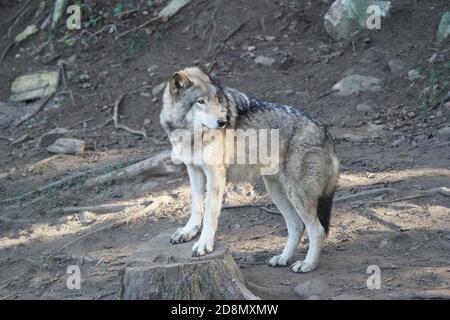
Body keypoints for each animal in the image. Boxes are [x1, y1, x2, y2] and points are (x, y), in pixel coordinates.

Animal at [158, 67, 338, 272]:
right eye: (200, 101)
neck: (191, 137)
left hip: (296, 194)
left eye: (217, 100)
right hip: (277, 192)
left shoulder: (215, 175)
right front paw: (188, 232)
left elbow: (210, 212)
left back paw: (308, 264)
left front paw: (204, 244)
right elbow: (196, 206)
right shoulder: (194, 170)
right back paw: (283, 258)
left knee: (318, 231)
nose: (222, 122)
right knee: (297, 226)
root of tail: (326, 133)